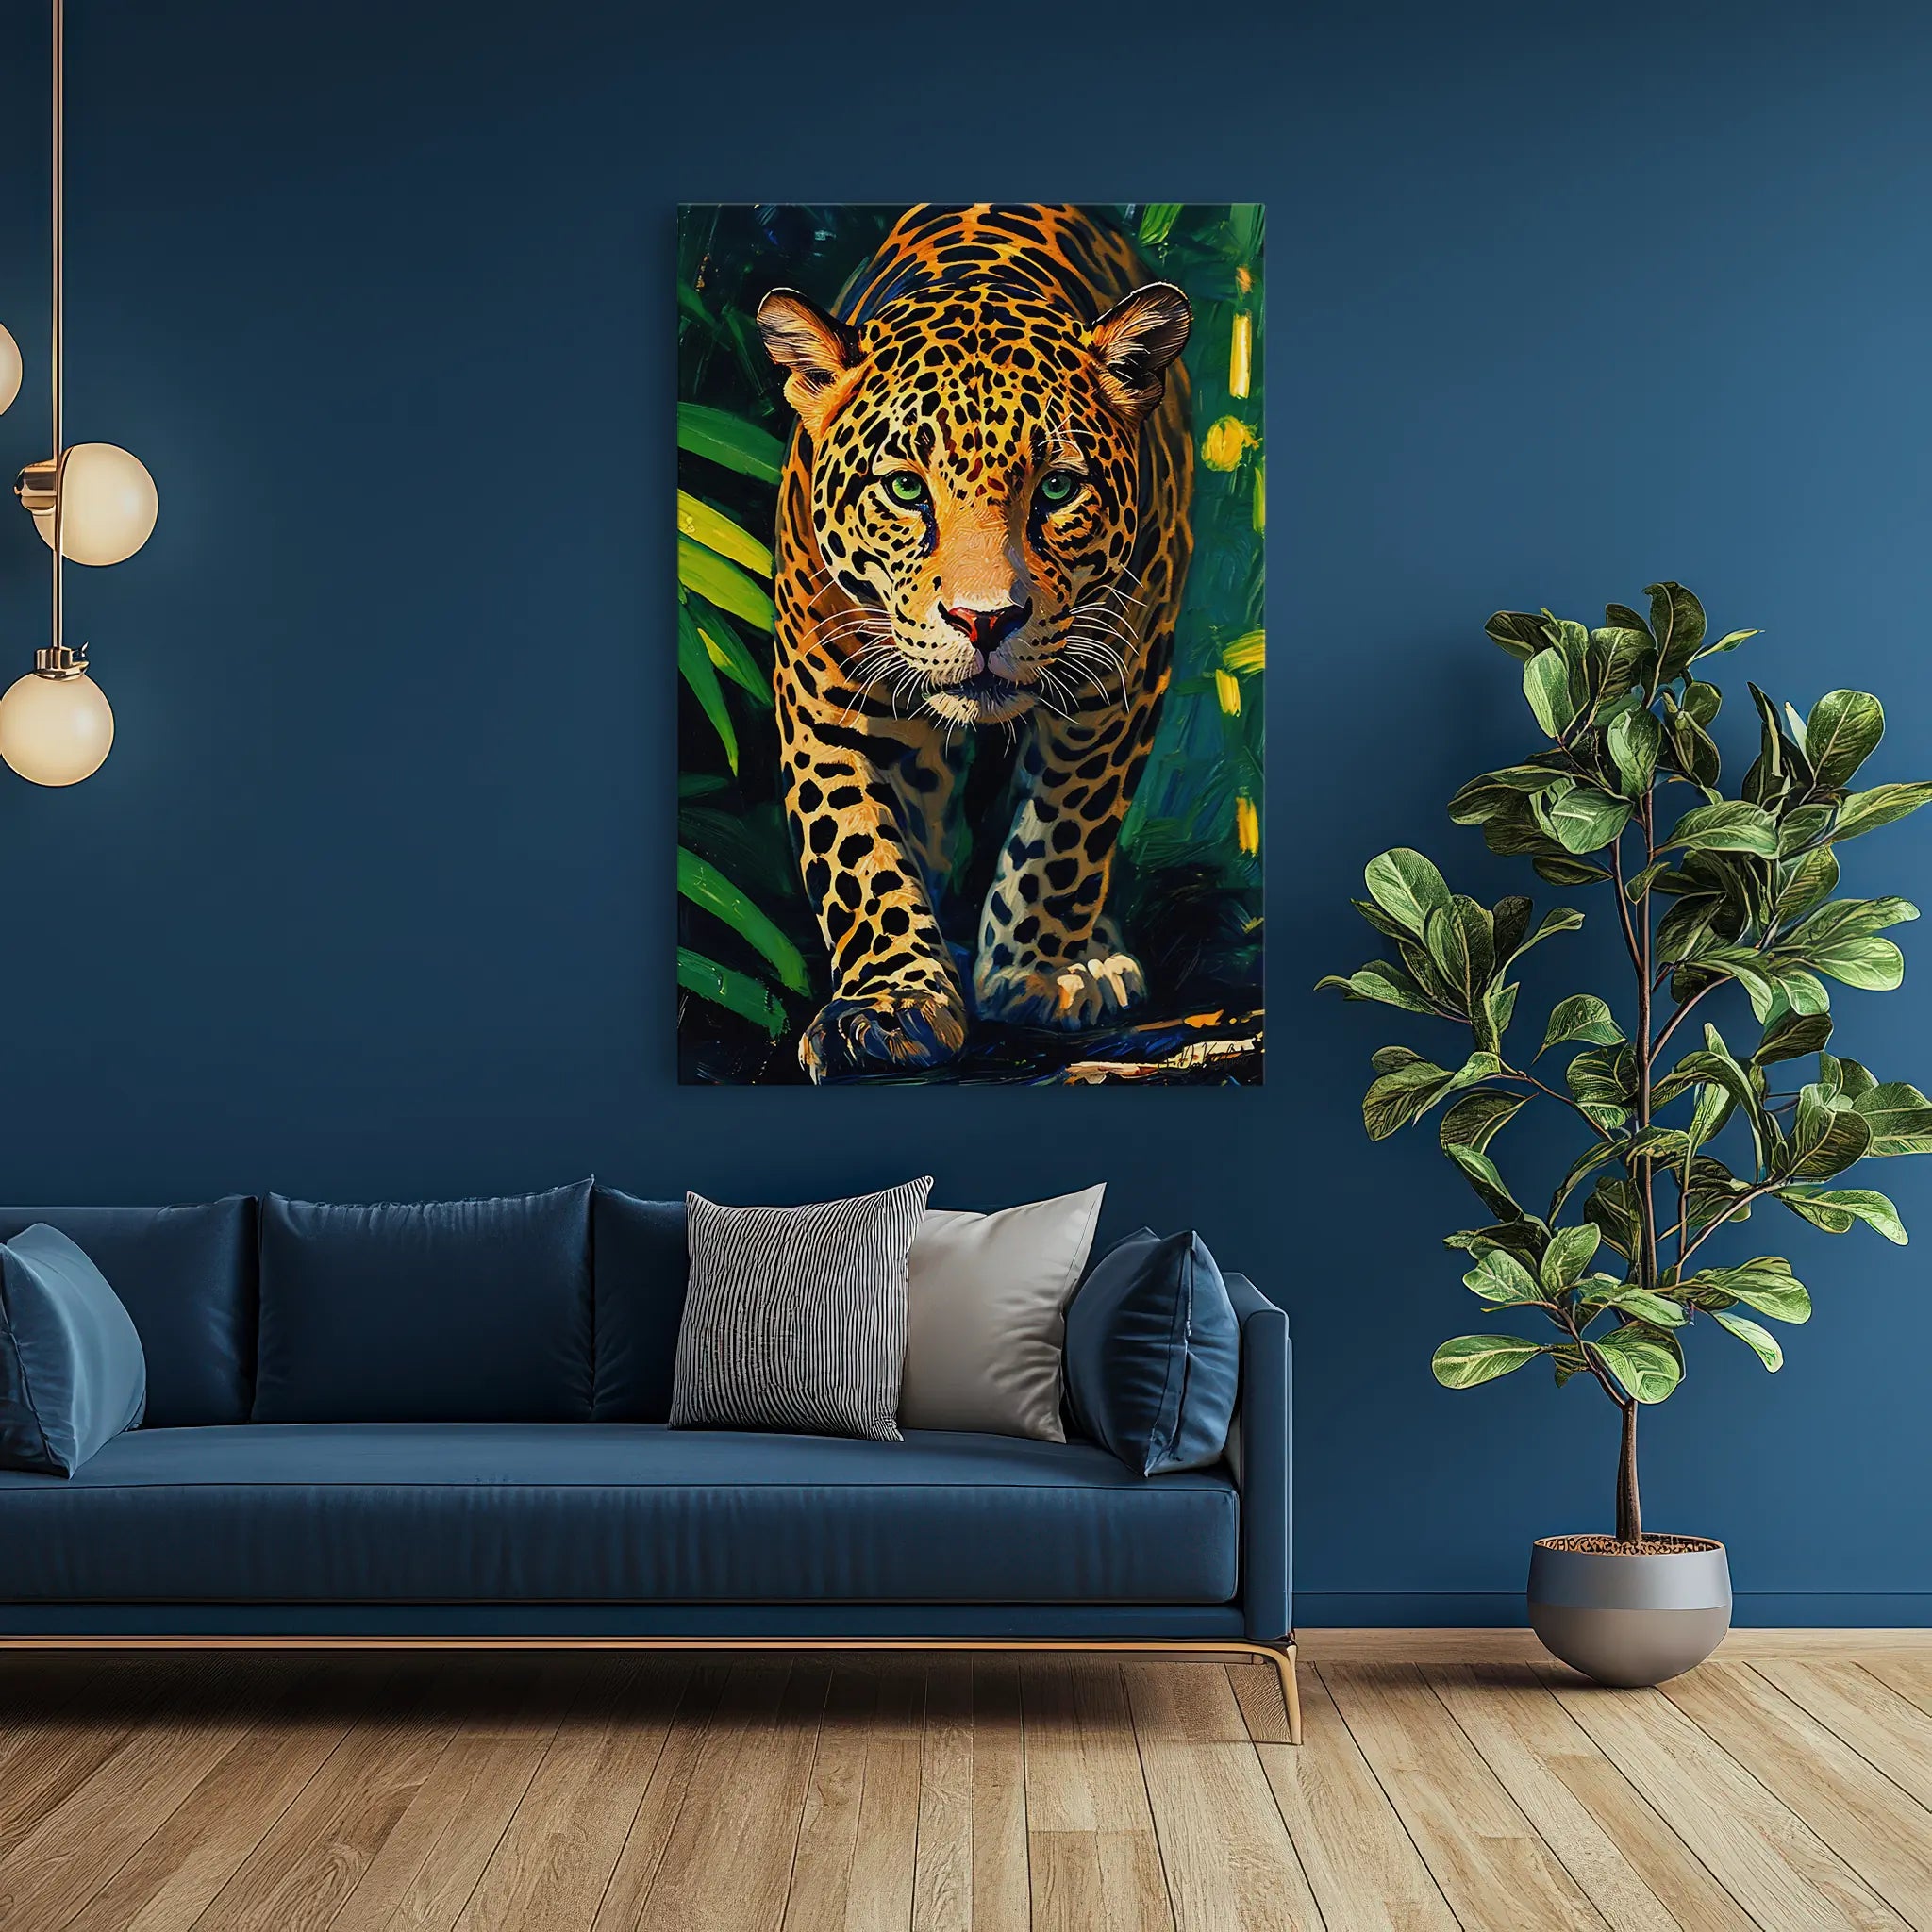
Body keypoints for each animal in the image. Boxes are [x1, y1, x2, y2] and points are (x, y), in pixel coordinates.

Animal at [756, 203, 1194, 1082]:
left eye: (1057, 489)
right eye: (904, 488)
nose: (984, 620)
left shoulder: (1120, 677)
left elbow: (1067, 829)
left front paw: (1037, 973)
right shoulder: (823, 693)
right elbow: (856, 846)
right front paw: (891, 1004)